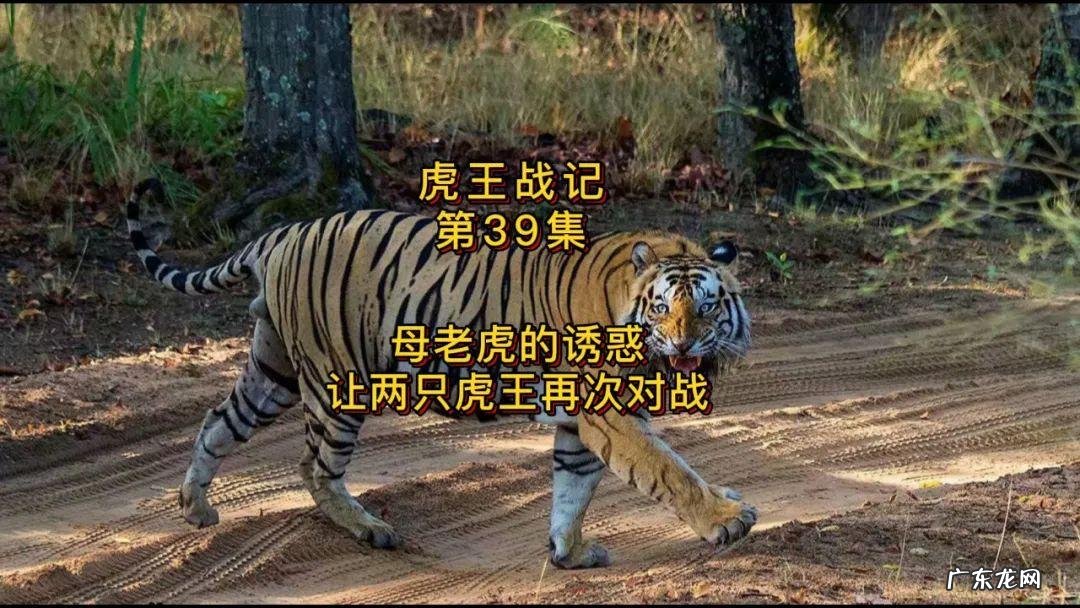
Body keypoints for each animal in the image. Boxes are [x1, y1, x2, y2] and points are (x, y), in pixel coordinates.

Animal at [125, 178, 756, 569]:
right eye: (662, 308)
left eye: (707, 307)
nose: (684, 344)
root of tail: (282, 232)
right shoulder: (609, 413)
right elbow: (670, 469)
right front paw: (728, 518)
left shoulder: (580, 424)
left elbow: (572, 488)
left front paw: (569, 553)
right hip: (336, 382)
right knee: (313, 466)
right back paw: (371, 530)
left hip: (273, 369)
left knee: (217, 421)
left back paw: (196, 508)